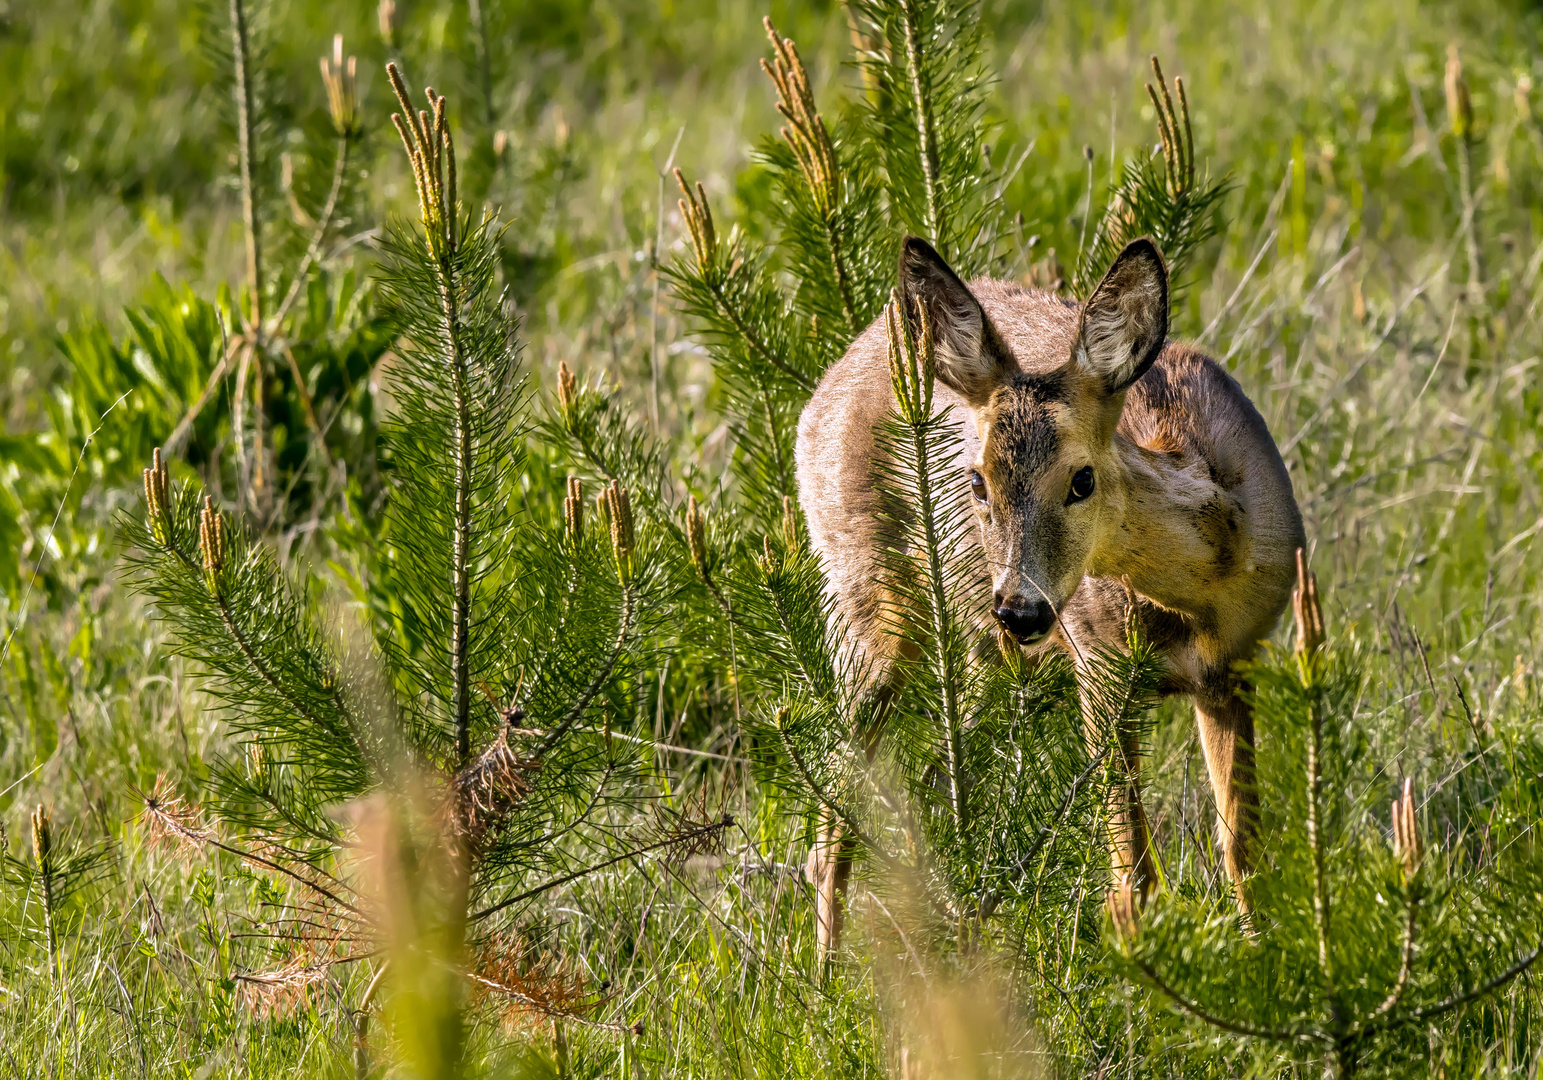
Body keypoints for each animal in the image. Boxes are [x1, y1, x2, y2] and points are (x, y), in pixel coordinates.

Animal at [796, 234, 1302, 950]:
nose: (1022, 608)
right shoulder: (1100, 663)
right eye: (977, 481)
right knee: (833, 825)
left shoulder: (1234, 663)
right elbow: (1133, 882)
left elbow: (1244, 852)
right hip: (862, 599)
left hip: (978, 653)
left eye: (1082, 478)